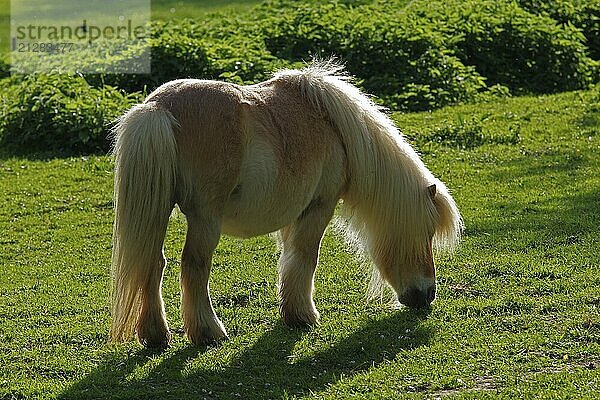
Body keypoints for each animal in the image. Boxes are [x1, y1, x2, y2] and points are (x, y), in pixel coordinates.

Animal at [109, 61, 464, 346]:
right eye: (427, 232)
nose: (427, 294)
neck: (333, 127)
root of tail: (157, 109)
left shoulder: (293, 214)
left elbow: (289, 258)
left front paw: (290, 312)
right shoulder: (319, 206)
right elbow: (306, 257)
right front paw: (303, 316)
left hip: (158, 212)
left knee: (152, 264)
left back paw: (156, 336)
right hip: (205, 219)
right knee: (193, 266)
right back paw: (209, 333)